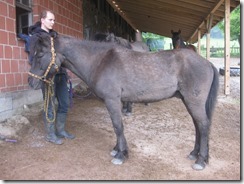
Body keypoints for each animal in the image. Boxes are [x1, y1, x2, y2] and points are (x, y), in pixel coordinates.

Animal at [28, 33, 219, 171]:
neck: (100, 61)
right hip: (189, 102)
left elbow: (118, 126)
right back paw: (195, 154)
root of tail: (207, 63)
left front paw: (120, 155)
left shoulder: (112, 100)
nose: (31, 82)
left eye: (40, 54)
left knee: (203, 125)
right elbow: (117, 126)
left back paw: (201, 160)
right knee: (198, 126)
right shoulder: (115, 102)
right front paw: (117, 149)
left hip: (194, 102)